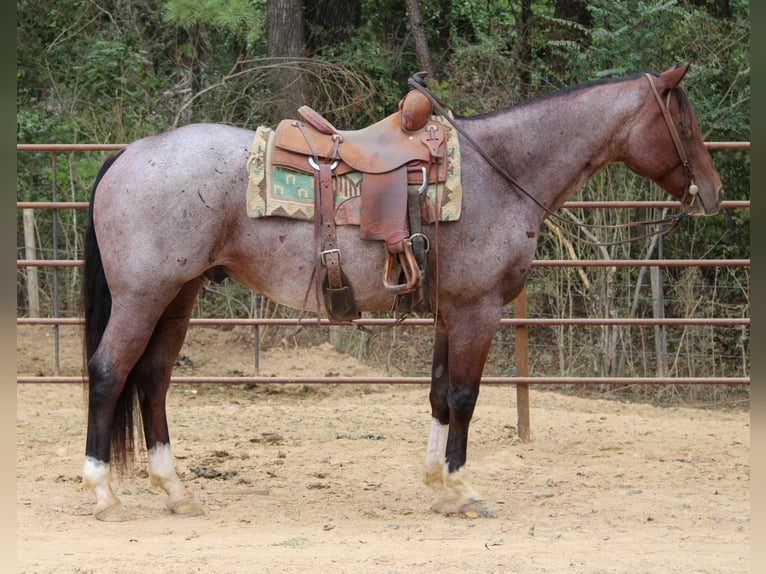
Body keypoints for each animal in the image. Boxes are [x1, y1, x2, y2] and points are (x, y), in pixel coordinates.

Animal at [81, 64, 724, 520]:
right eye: (684, 124)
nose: (714, 192)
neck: (502, 172)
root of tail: (129, 153)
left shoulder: (448, 313)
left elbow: (439, 395)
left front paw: (436, 485)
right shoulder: (477, 311)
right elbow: (464, 395)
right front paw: (463, 489)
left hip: (180, 294)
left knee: (153, 378)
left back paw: (175, 489)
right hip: (144, 295)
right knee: (111, 370)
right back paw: (103, 492)